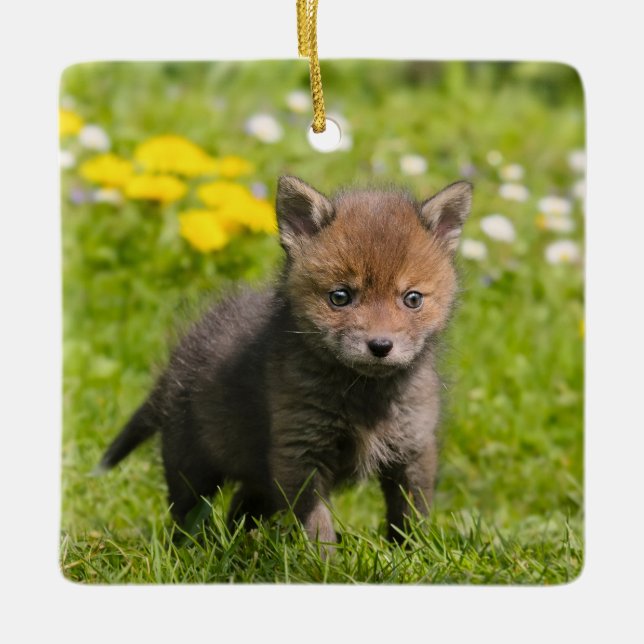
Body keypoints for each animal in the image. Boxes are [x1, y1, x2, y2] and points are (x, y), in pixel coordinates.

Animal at [97, 175, 472, 545]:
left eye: (412, 299)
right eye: (340, 297)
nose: (380, 346)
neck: (364, 397)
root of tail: (176, 361)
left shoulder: (413, 448)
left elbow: (410, 516)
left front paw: (411, 553)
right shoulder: (299, 451)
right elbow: (316, 525)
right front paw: (326, 561)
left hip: (258, 478)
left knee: (239, 509)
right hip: (192, 467)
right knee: (186, 517)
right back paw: (193, 550)